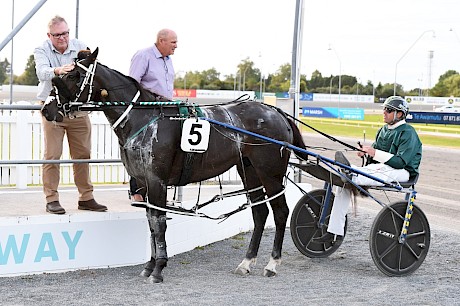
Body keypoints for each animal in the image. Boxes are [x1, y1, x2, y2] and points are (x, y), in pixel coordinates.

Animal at [41, 48, 326, 284]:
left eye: (74, 75)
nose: (47, 109)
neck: (143, 117)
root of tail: (278, 113)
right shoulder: (143, 182)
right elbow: (151, 222)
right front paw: (149, 265)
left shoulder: (157, 181)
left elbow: (159, 223)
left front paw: (158, 269)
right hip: (250, 171)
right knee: (260, 212)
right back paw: (246, 262)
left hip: (270, 172)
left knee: (280, 212)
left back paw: (272, 264)